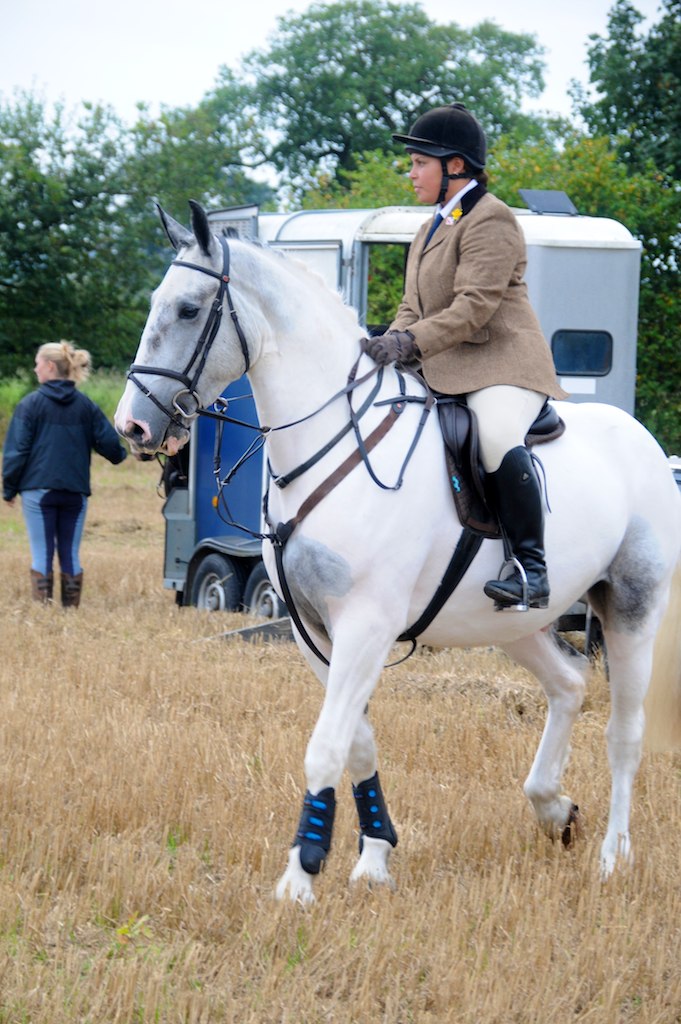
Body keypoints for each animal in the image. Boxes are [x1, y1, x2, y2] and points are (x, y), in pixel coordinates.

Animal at [115, 201, 679, 905]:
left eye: (189, 310)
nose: (132, 426)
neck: (331, 436)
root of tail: (644, 441)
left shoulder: (366, 623)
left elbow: (326, 745)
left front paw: (301, 874)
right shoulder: (314, 630)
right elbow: (356, 742)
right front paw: (373, 858)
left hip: (632, 605)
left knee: (624, 732)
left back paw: (613, 857)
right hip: (513, 620)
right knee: (570, 683)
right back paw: (553, 808)